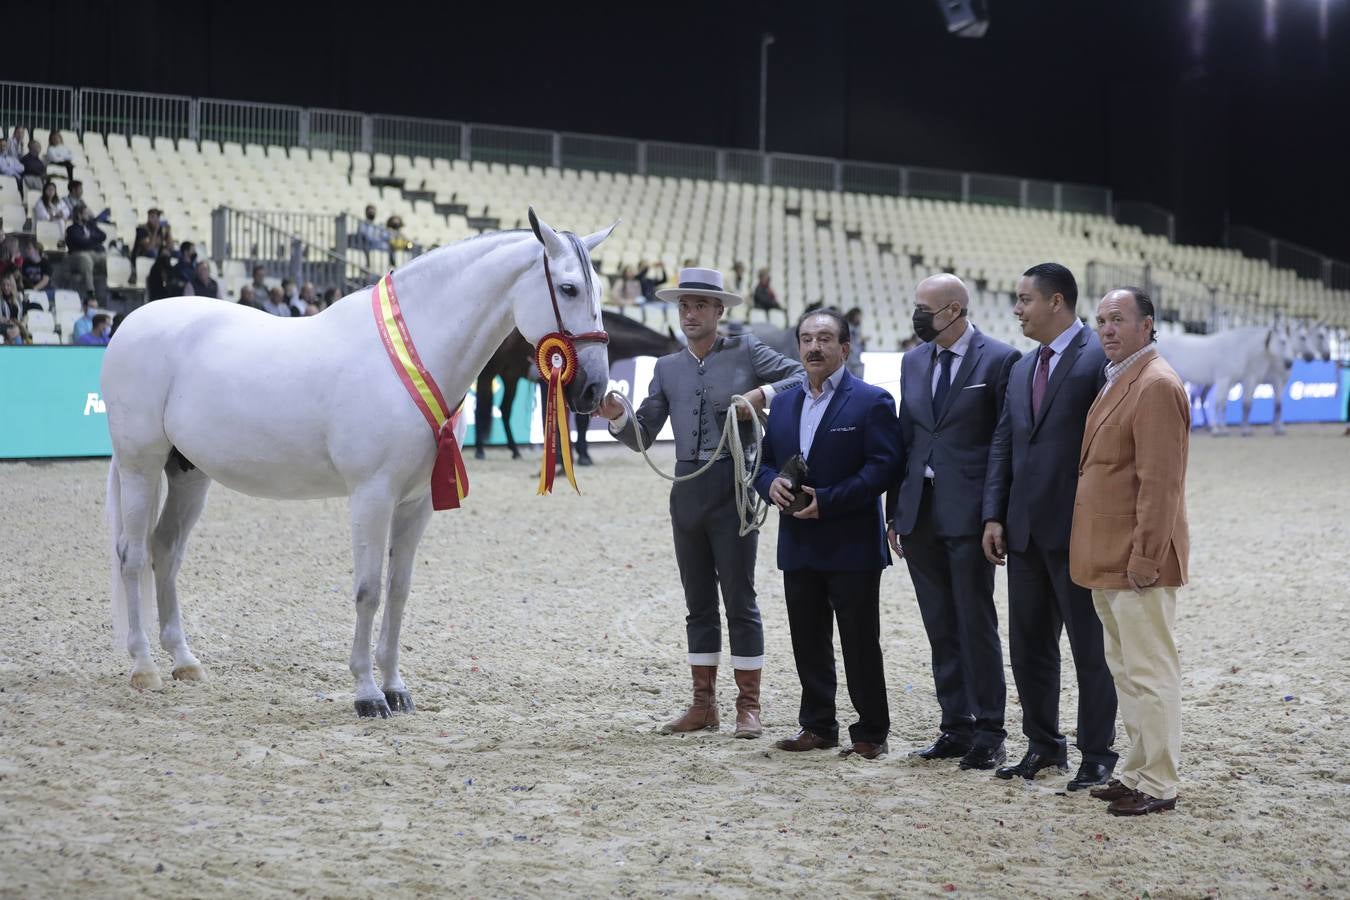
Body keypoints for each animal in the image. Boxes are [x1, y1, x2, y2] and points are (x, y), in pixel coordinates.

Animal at [105, 209, 618, 717]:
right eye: (569, 288)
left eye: (598, 290)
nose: (594, 389)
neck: (410, 356)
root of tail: (132, 322)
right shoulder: (372, 495)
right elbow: (368, 590)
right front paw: (368, 694)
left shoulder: (416, 504)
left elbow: (399, 590)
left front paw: (396, 688)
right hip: (140, 466)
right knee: (133, 555)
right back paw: (144, 667)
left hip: (188, 473)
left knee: (166, 550)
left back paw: (183, 661)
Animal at [475, 311, 685, 464]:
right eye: (678, 349)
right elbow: (581, 421)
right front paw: (583, 456)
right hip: (488, 375)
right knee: (481, 408)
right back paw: (480, 451)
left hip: (510, 377)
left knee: (504, 410)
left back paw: (515, 451)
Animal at [1150, 323, 1296, 437]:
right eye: (1283, 341)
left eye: (1291, 342)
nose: (1289, 363)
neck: (1237, 348)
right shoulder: (1225, 379)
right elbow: (1219, 403)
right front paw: (1217, 430)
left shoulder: (1230, 381)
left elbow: (1224, 404)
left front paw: (1223, 429)